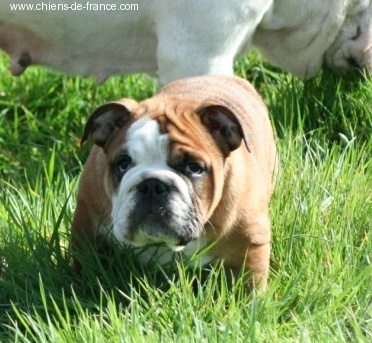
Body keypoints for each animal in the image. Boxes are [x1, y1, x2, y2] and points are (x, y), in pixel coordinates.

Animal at [71, 76, 278, 292]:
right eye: (123, 164)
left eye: (194, 167)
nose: (152, 185)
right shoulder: (87, 223)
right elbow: (85, 264)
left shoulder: (250, 242)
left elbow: (248, 284)